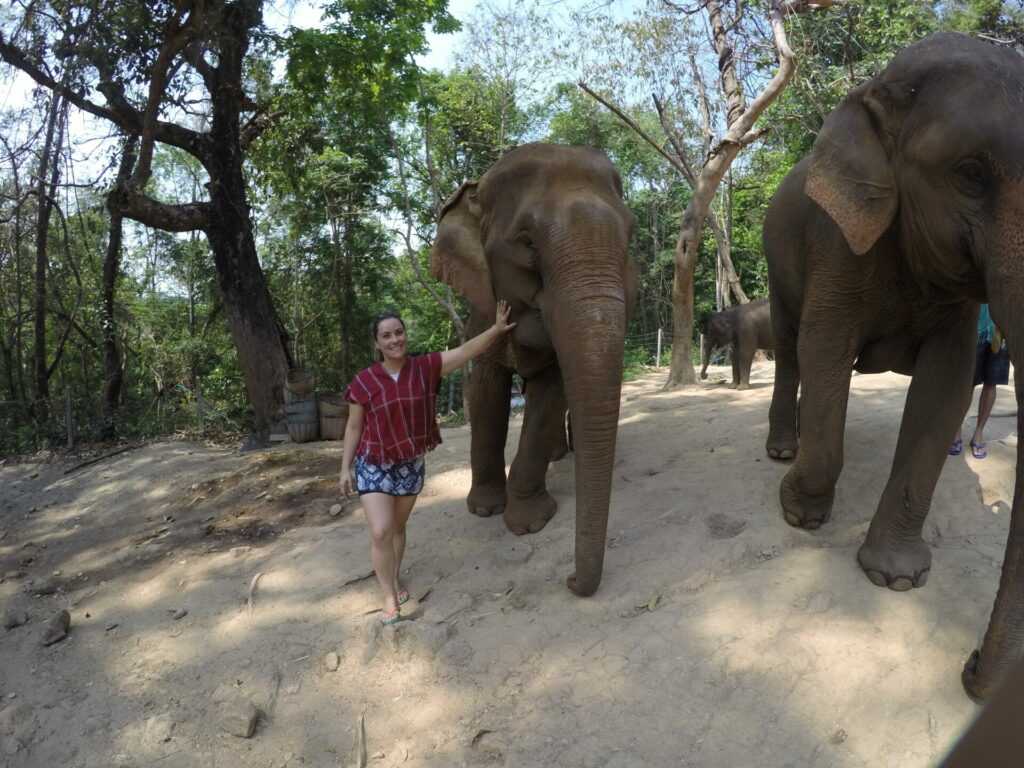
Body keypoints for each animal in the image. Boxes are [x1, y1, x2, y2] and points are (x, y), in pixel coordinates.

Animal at [428, 145, 634, 602]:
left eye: (630, 235)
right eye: (526, 243)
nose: (571, 581)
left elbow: (550, 394)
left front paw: (529, 523)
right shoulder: (481, 312)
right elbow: (485, 391)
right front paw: (484, 509)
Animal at [765, 33, 1024, 700]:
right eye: (971, 173)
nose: (969, 667)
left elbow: (946, 387)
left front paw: (897, 581)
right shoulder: (835, 240)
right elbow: (825, 349)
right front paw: (799, 513)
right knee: (789, 346)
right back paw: (782, 450)